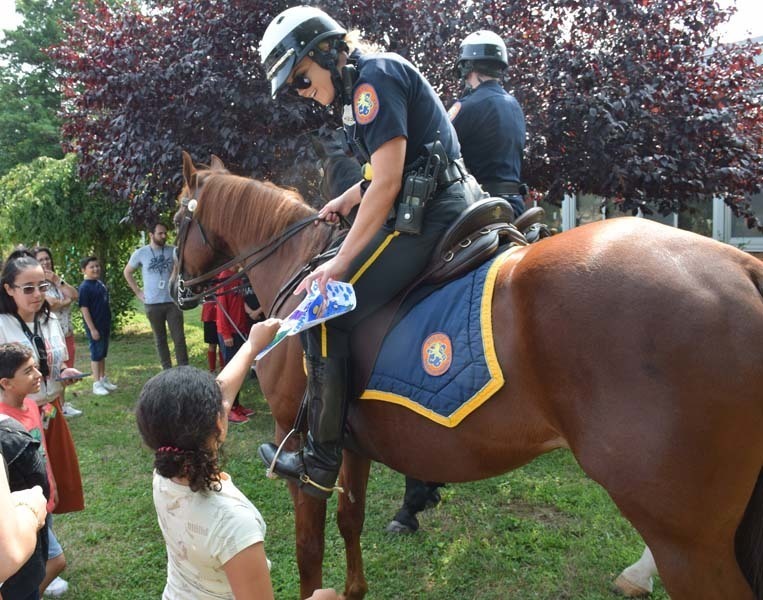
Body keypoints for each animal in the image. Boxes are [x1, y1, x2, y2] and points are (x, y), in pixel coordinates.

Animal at [175, 154, 763, 600]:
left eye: (179, 218)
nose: (178, 287)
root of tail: (742, 266)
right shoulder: (349, 444)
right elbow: (350, 519)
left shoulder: (295, 443)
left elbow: (308, 548)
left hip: (686, 540)